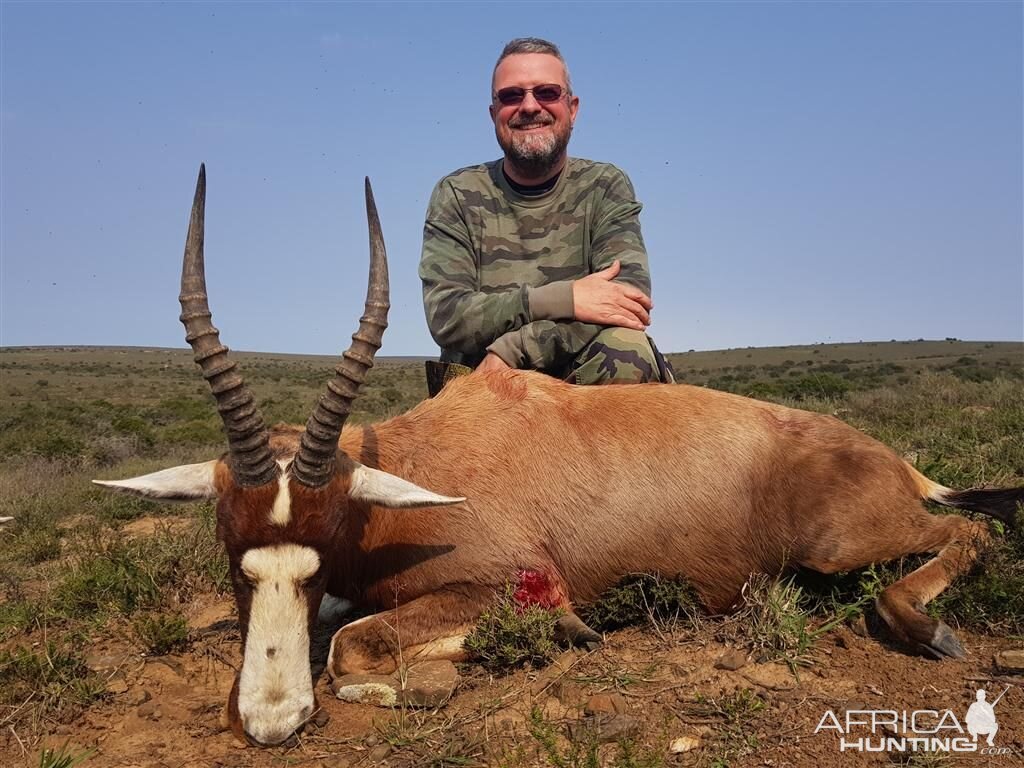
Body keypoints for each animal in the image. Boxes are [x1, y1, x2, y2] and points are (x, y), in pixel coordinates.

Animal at [96, 166, 1024, 745]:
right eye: (232, 553)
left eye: (322, 545)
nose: (270, 721)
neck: (427, 465)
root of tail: (893, 461)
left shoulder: (502, 583)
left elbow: (351, 647)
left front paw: (529, 647)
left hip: (843, 543)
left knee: (973, 536)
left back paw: (929, 628)